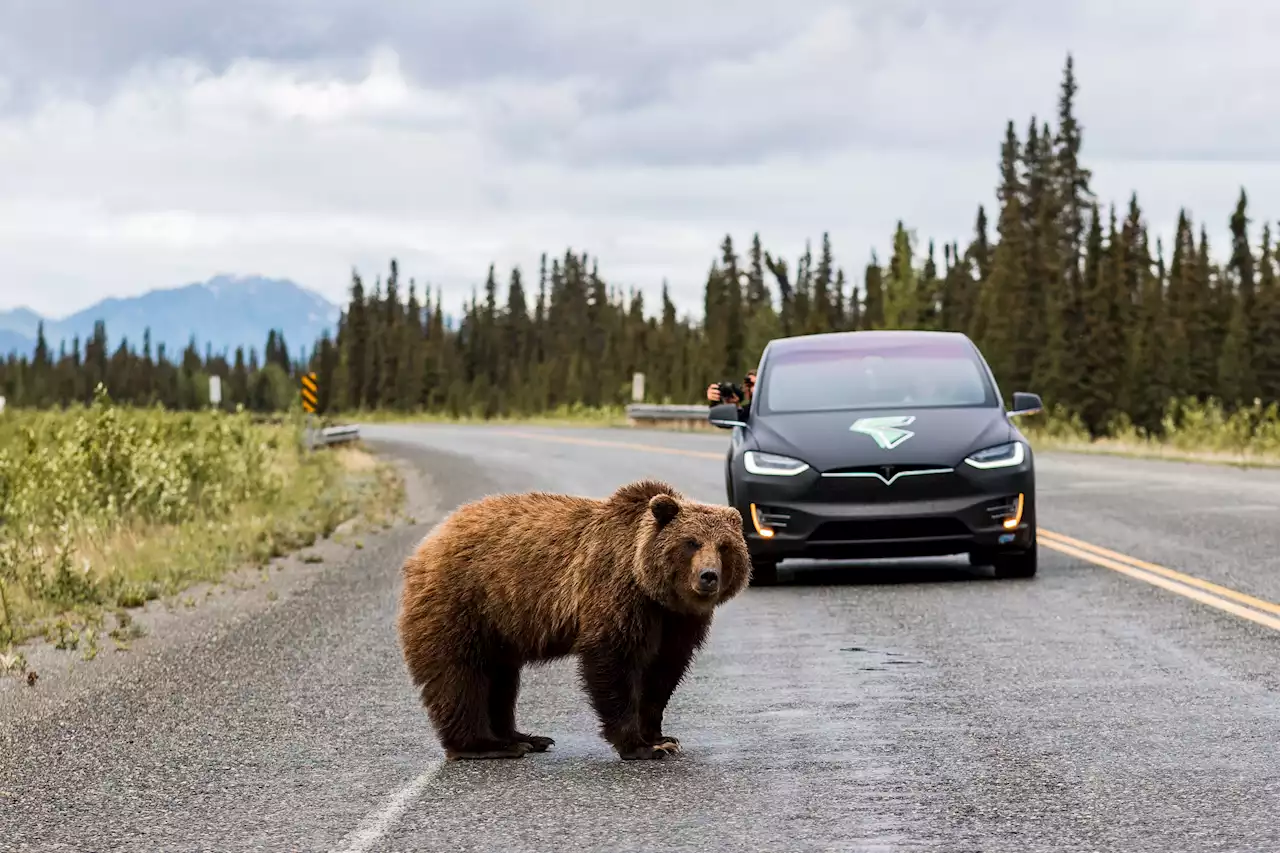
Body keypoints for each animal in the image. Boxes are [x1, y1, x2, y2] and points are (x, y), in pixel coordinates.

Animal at [391, 473, 747, 758]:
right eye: (691, 542)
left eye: (725, 546)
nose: (708, 576)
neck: (651, 586)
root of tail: (428, 542)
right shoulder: (616, 594)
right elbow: (613, 662)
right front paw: (639, 745)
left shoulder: (677, 620)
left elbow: (663, 671)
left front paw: (661, 737)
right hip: (463, 602)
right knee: (461, 675)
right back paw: (486, 745)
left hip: (497, 625)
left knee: (501, 677)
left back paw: (524, 737)